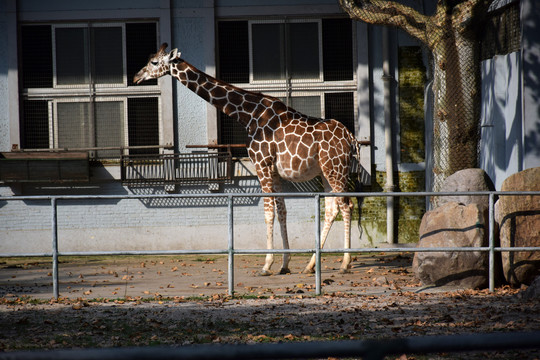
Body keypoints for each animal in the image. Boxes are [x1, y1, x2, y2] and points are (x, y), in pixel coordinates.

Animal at [135, 43, 362, 274]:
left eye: (154, 62)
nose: (136, 77)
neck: (248, 114)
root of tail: (350, 138)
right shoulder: (274, 171)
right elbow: (281, 211)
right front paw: (284, 264)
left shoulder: (262, 164)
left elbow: (268, 212)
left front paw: (267, 264)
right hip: (326, 172)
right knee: (332, 209)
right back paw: (310, 265)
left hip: (336, 169)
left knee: (346, 206)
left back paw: (345, 263)